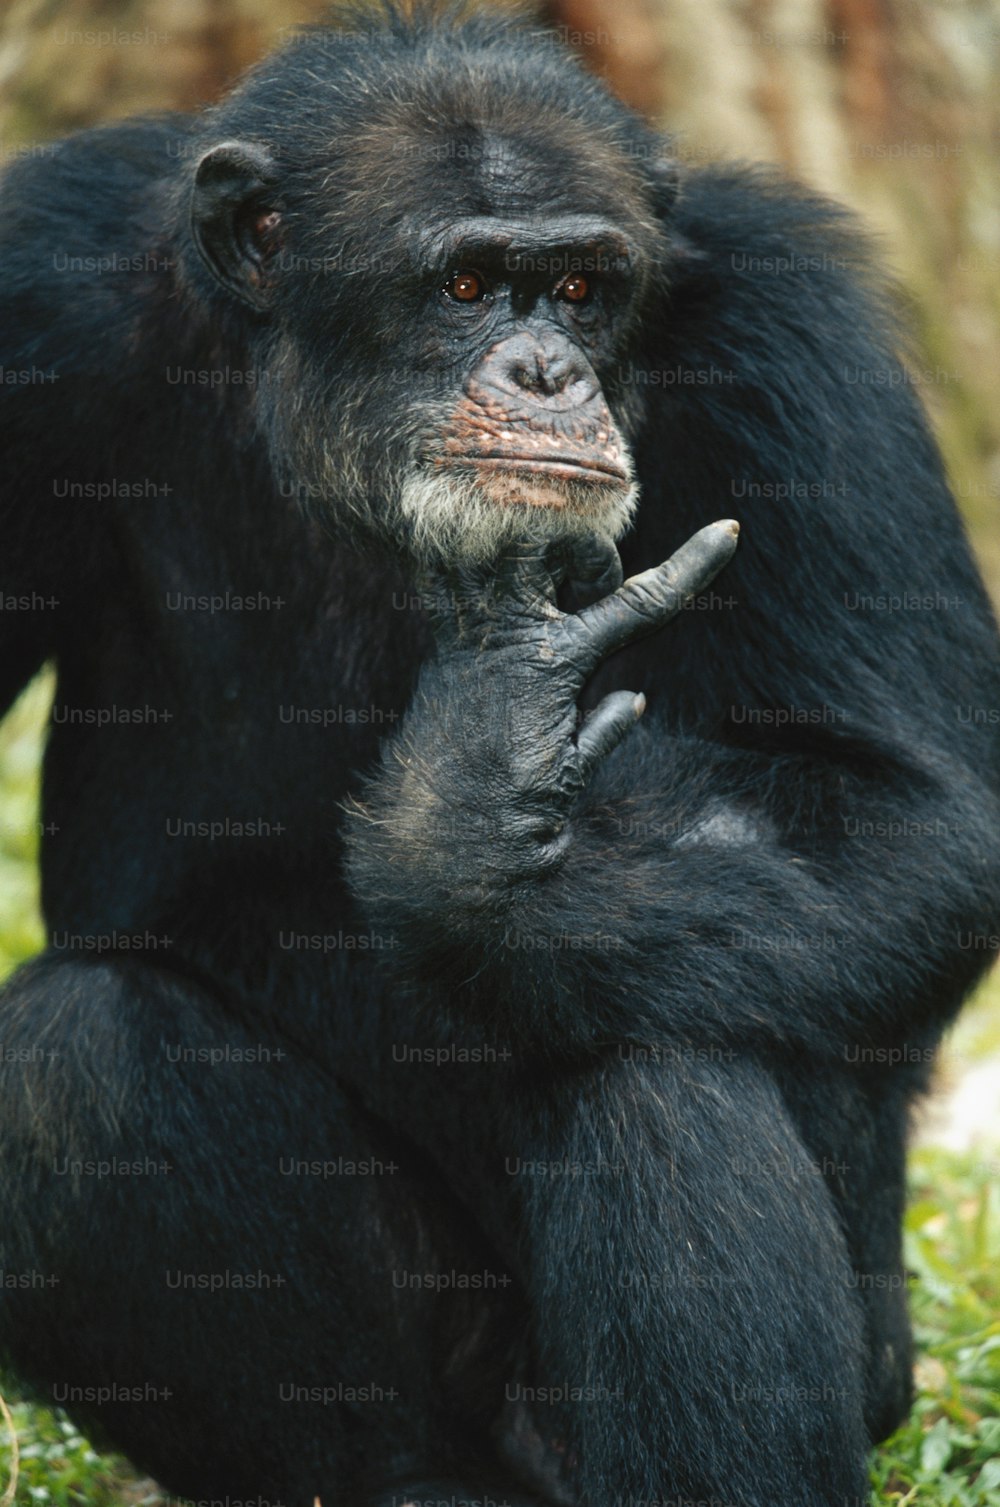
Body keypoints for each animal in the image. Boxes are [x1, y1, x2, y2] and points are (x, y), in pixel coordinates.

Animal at [1, 2, 1000, 1507]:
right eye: (468, 286)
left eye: (582, 289)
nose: (547, 372)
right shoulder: (27, 310)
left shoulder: (799, 334)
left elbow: (926, 806)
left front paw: (469, 834)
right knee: (74, 1064)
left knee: (651, 1045)